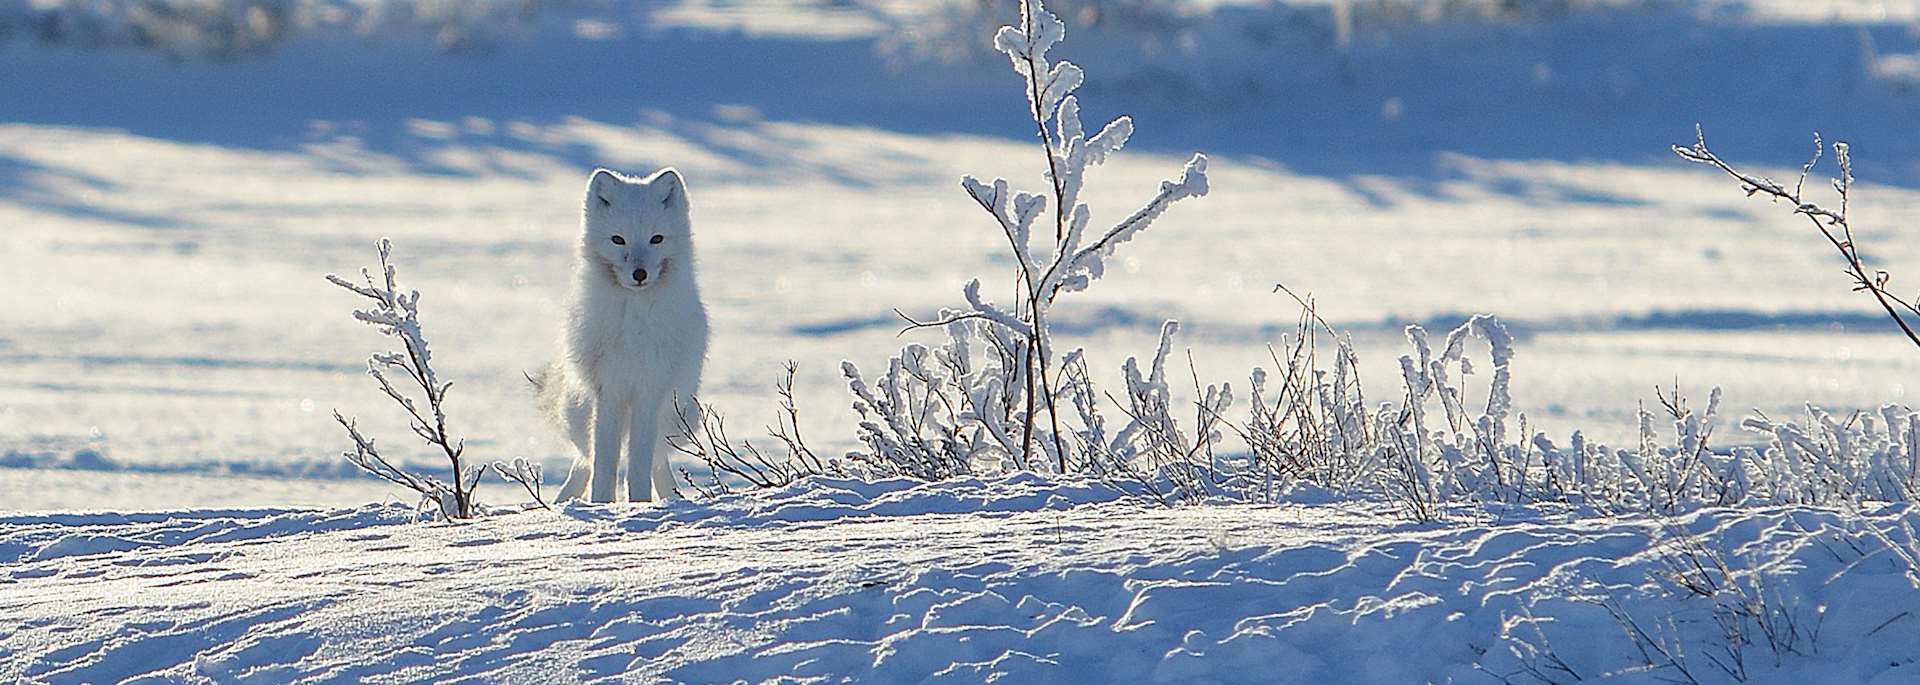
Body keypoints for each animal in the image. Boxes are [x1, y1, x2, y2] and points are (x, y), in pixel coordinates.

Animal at [531, 167, 709, 503]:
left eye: (656, 239)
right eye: (618, 239)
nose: (639, 274)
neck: (634, 319)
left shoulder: (649, 391)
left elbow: (639, 461)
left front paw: (639, 502)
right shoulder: (608, 389)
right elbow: (604, 460)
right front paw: (601, 503)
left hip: (678, 416)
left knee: (657, 459)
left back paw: (670, 497)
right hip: (580, 412)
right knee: (585, 458)